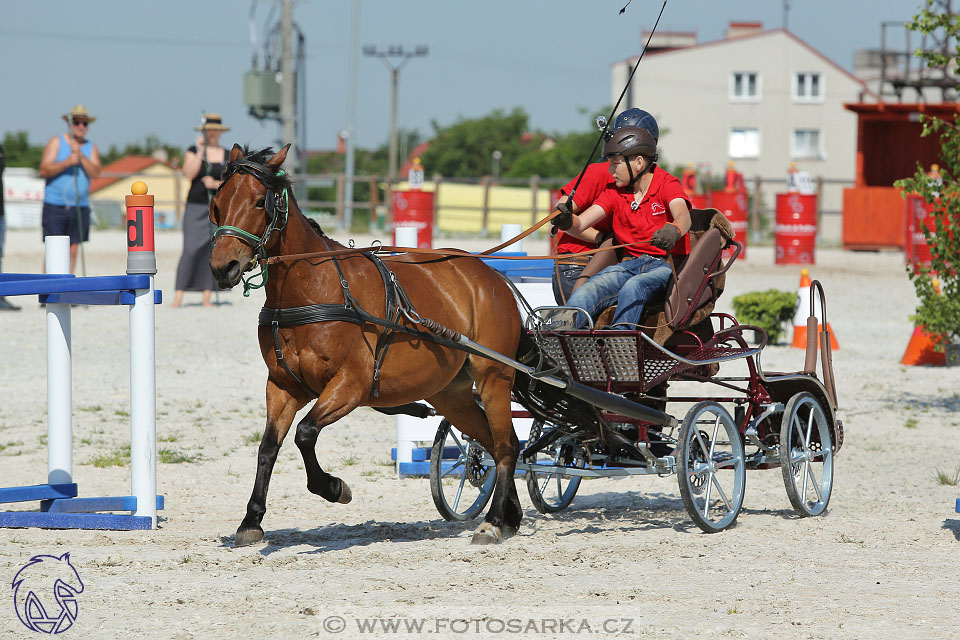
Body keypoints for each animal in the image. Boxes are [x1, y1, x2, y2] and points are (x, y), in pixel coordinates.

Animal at [208, 145, 524, 544]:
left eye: (258, 201)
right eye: (217, 203)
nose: (223, 268)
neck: (314, 288)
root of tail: (491, 275)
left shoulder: (350, 385)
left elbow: (305, 434)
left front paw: (333, 488)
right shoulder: (282, 386)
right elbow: (268, 447)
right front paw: (251, 520)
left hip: (494, 377)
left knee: (506, 445)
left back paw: (493, 521)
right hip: (451, 394)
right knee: (494, 441)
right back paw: (510, 517)